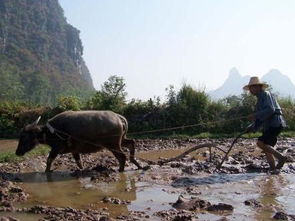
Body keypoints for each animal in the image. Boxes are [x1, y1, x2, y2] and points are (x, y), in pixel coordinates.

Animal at [15, 110, 143, 173]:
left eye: (24, 136)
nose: (17, 152)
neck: (51, 131)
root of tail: (118, 117)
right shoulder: (74, 150)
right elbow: (79, 162)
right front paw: (82, 169)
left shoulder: (56, 148)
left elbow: (49, 160)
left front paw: (46, 172)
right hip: (121, 140)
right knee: (131, 143)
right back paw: (137, 164)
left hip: (113, 144)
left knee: (122, 156)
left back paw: (121, 170)